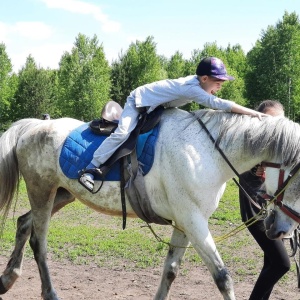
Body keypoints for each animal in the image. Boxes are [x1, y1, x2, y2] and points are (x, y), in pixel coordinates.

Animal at [0, 108, 300, 300]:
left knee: (24, 223)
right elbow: (222, 277)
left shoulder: (185, 223)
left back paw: (7, 278)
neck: (207, 152)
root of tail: (33, 126)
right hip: (42, 191)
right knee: (39, 241)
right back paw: (50, 293)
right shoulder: (194, 222)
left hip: (61, 194)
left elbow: (170, 271)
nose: (280, 229)